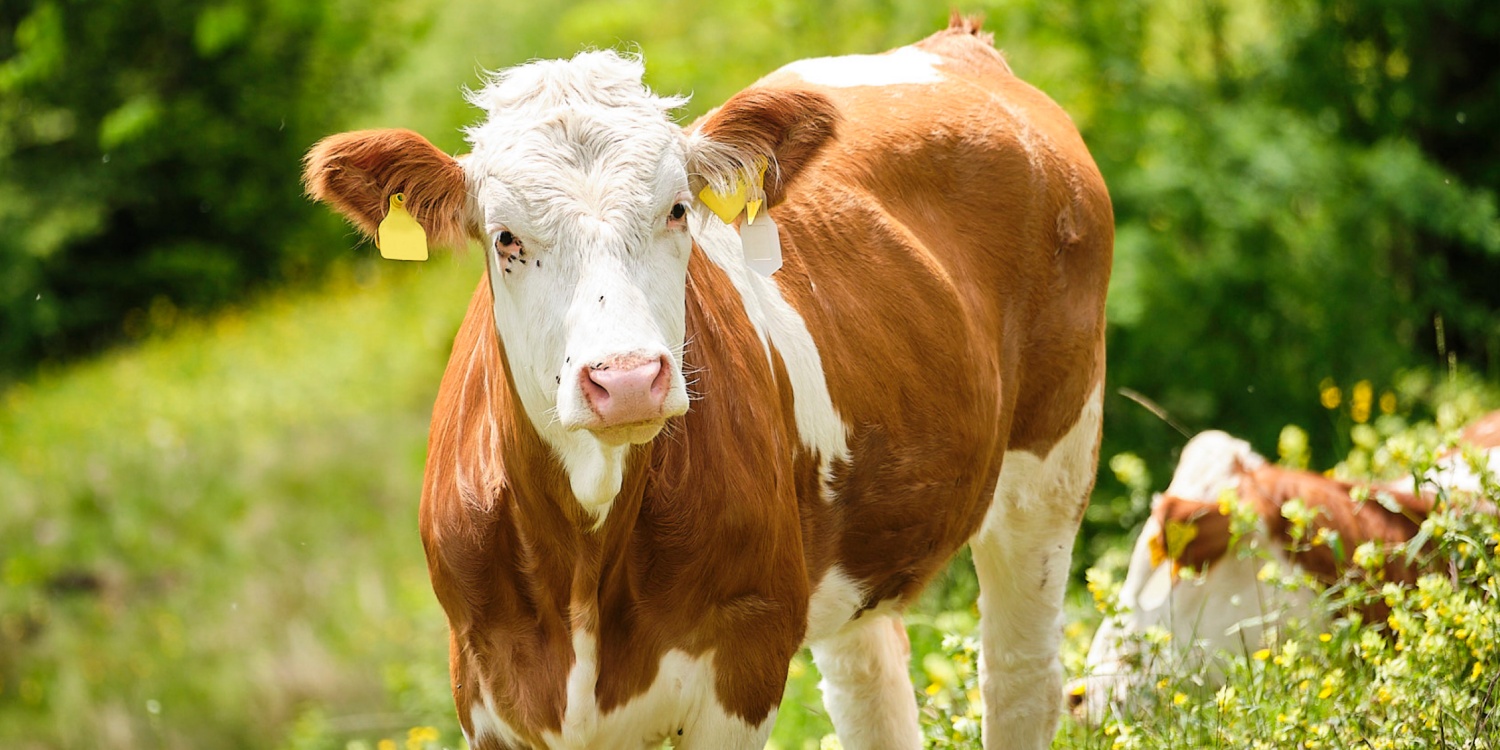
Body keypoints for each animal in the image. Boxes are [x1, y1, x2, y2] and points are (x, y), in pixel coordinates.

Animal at [303, 17, 1112, 750]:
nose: (627, 379)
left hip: (1050, 463)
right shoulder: (482, 685)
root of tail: (955, 46)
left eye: (677, 210)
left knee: (1020, 678)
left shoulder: (745, 655)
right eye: (505, 237)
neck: (583, 563)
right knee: (873, 696)